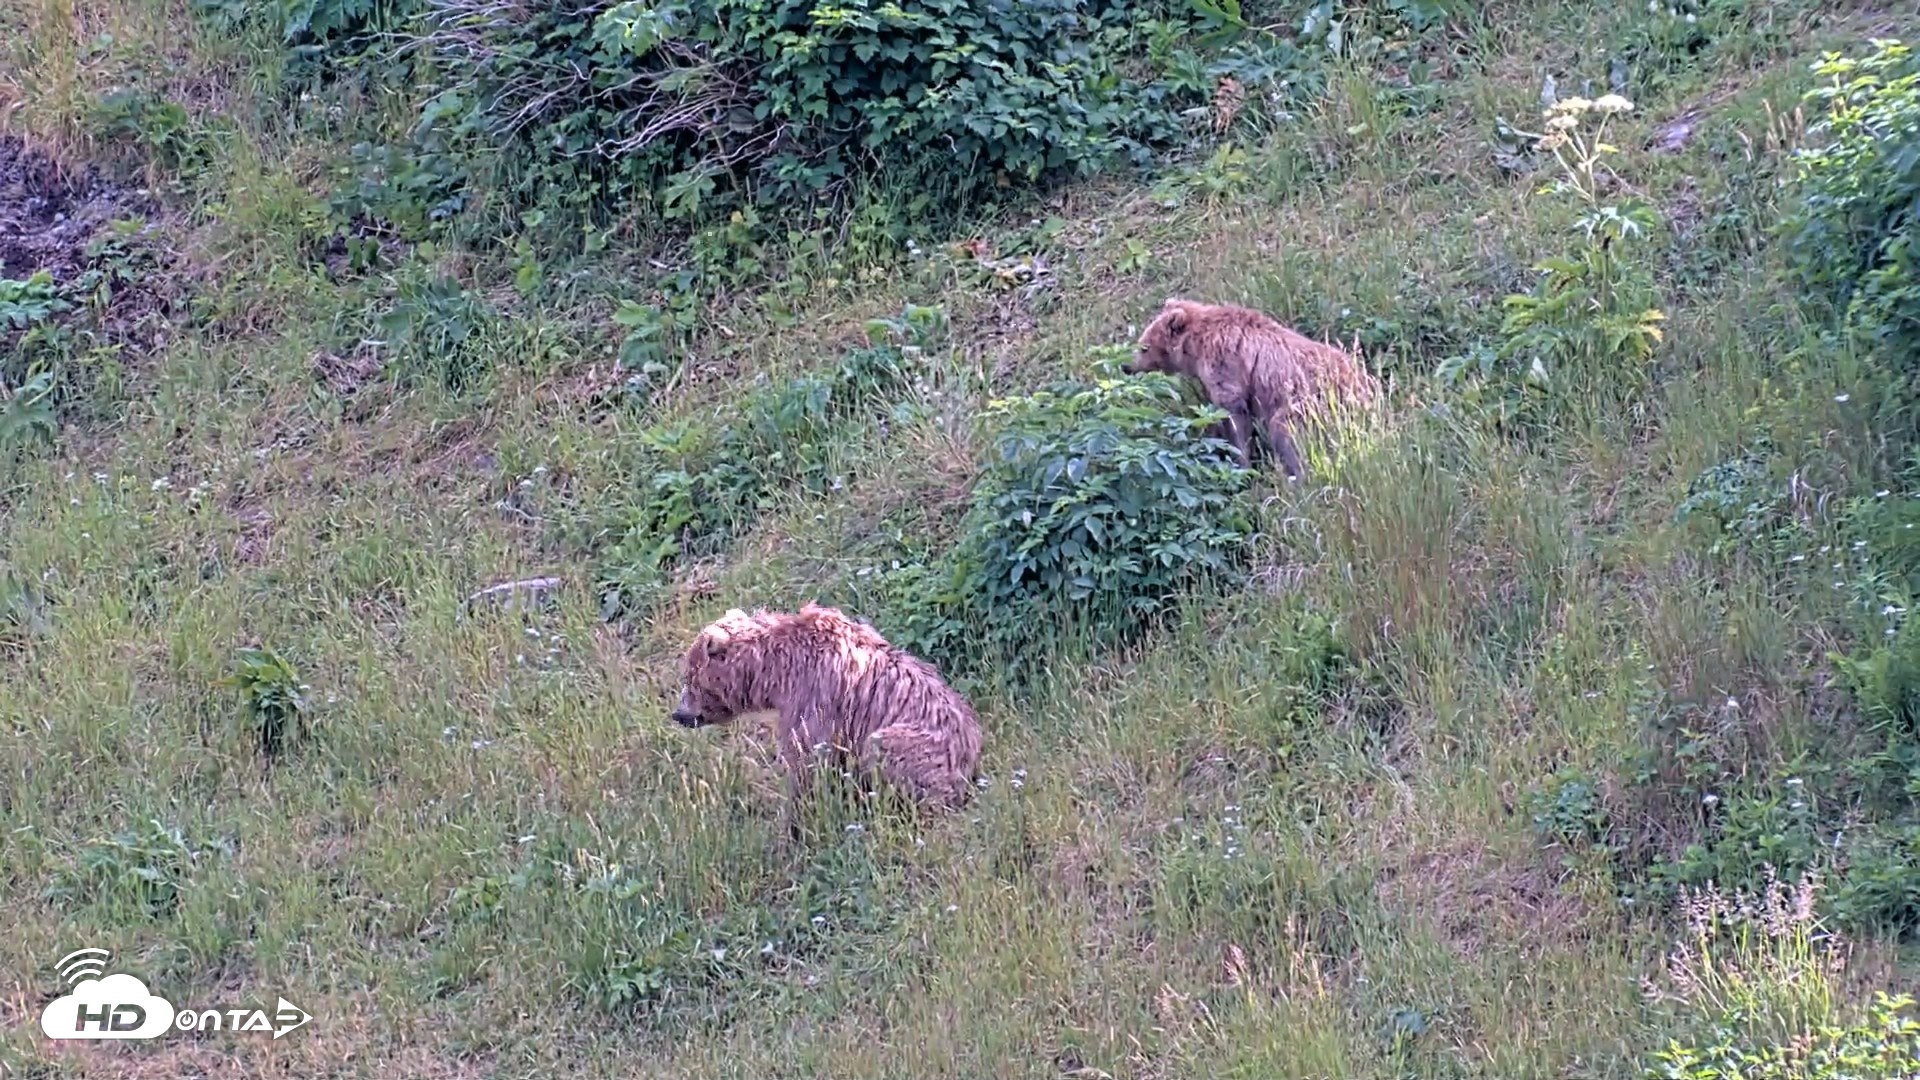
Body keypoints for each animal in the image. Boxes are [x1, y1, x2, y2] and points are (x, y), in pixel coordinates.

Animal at [669, 603, 983, 815]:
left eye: (689, 678)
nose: (679, 714)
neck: (773, 672)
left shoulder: (814, 697)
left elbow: (808, 760)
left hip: (918, 748)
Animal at [1121, 297, 1381, 479]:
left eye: (1144, 347)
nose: (1125, 366)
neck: (1195, 347)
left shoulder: (1227, 366)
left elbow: (1235, 415)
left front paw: (1242, 463)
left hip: (1312, 403)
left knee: (1287, 433)